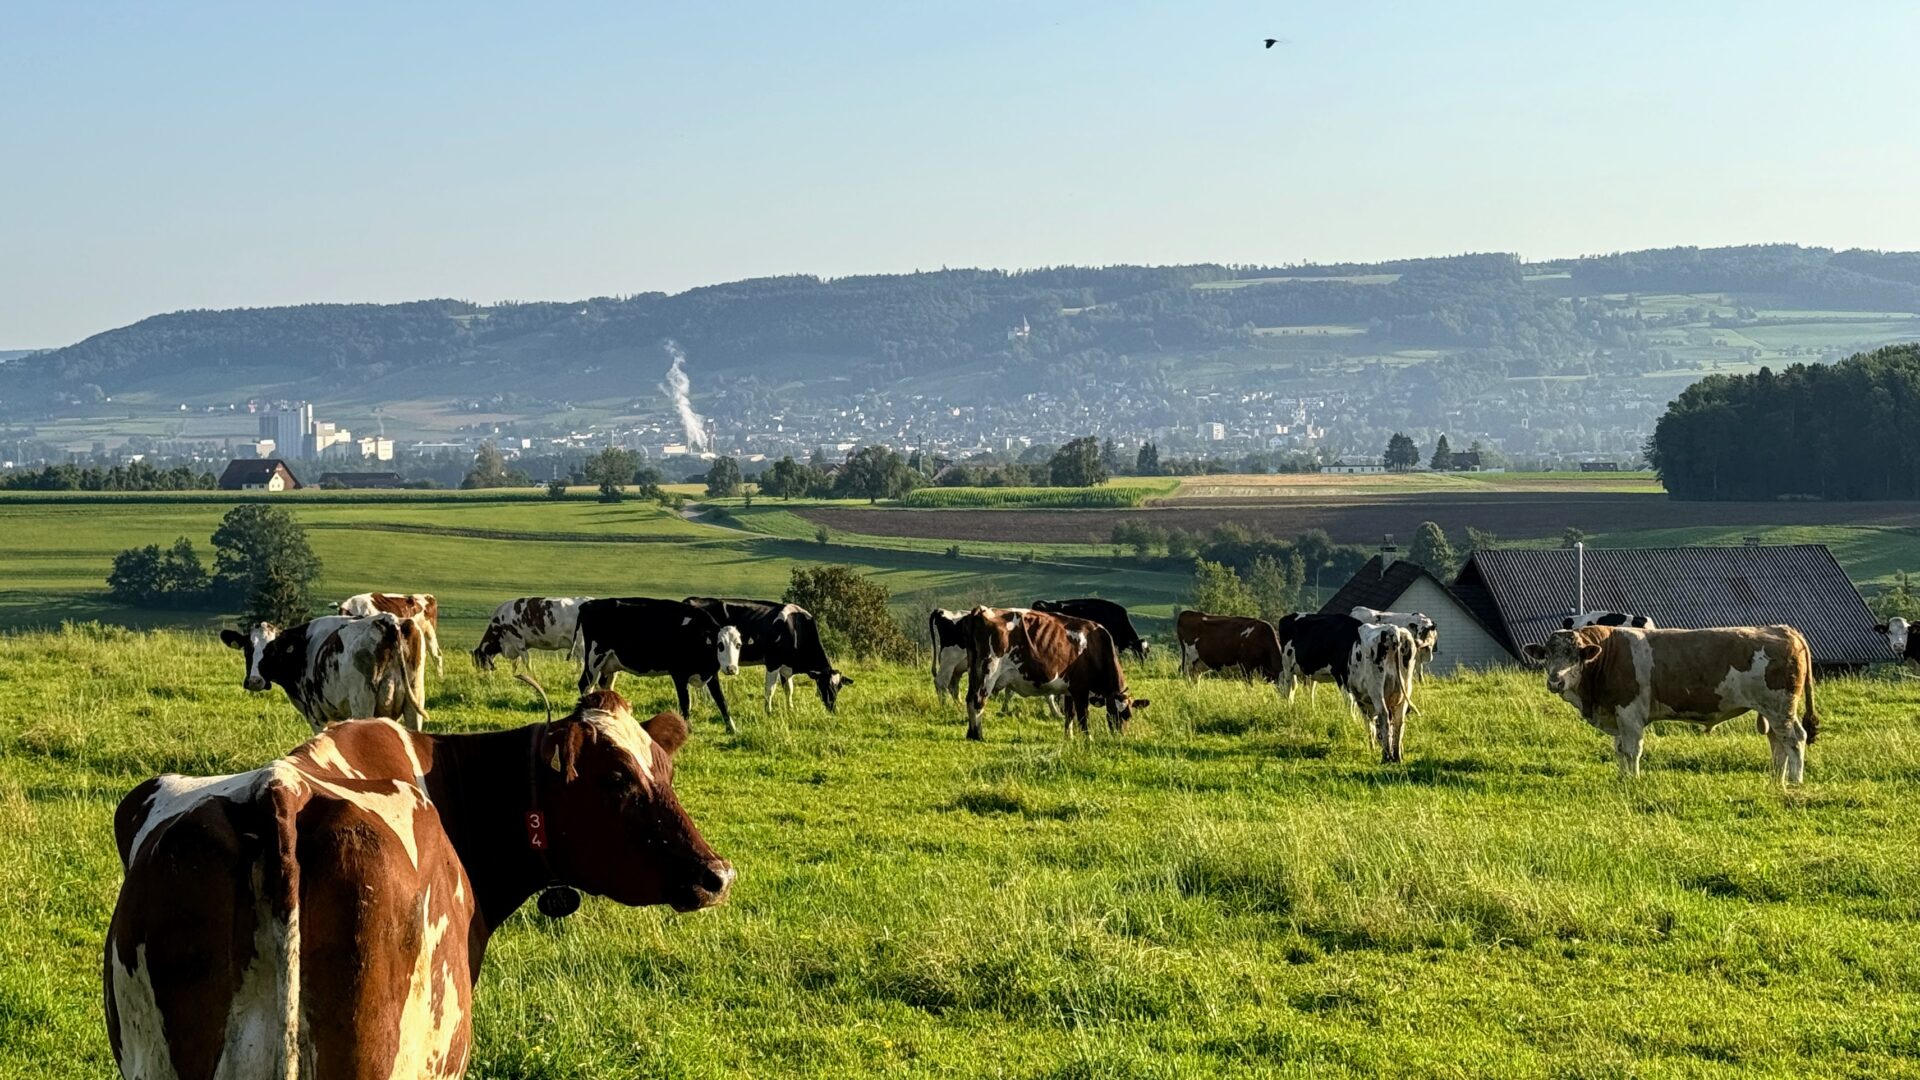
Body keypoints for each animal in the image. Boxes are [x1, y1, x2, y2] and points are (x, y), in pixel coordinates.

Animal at [568, 595, 741, 730]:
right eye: (720, 645)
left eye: (738, 645)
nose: (732, 668)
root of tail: (589, 604)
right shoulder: (679, 674)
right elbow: (685, 702)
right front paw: (688, 728)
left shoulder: (711, 673)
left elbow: (721, 700)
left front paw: (732, 728)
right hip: (594, 659)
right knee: (585, 685)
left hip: (609, 664)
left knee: (605, 686)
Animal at [683, 591, 848, 711]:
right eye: (824, 684)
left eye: (839, 687)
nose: (832, 708)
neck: (796, 627)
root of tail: (690, 600)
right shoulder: (773, 662)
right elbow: (770, 689)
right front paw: (768, 710)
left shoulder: (786, 666)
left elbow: (789, 689)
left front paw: (790, 708)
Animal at [956, 599, 1136, 734]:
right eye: (1116, 714)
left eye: (1128, 715)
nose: (1120, 736)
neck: (1096, 645)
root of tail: (981, 611)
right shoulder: (1080, 689)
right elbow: (1083, 717)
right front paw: (1088, 741)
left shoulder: (1069, 690)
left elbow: (1069, 715)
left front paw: (1068, 738)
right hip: (988, 671)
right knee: (978, 700)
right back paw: (977, 735)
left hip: (975, 671)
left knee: (970, 699)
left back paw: (971, 733)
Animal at [1520, 622, 1820, 780]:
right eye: (1547, 654)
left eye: (1575, 655)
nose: (1555, 681)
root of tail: (1782, 629)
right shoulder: (1616, 714)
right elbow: (1619, 750)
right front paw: (1622, 779)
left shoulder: (1630, 713)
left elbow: (1632, 750)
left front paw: (1634, 780)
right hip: (1770, 710)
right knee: (1777, 742)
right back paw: (1777, 780)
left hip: (1780, 707)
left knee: (1795, 739)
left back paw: (1795, 781)